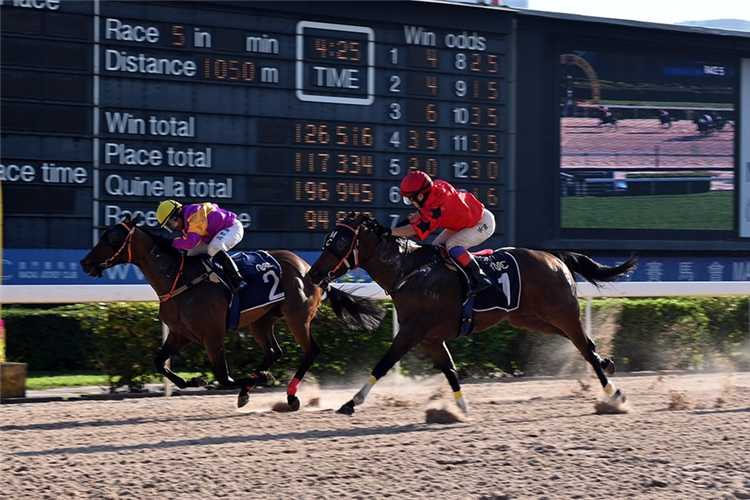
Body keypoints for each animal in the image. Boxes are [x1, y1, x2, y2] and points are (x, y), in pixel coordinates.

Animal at [81, 215, 388, 410]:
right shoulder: (181, 334)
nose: (85, 263)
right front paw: (193, 379)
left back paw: (288, 395)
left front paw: (259, 379)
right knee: (274, 352)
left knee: (310, 350)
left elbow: (223, 376)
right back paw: (250, 390)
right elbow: (160, 363)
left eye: (113, 238)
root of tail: (309, 269)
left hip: (297, 318)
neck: (180, 280)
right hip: (262, 321)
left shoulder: (212, 334)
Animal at [306, 213, 640, 416]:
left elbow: (384, 363)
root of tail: (553, 257)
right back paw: (606, 364)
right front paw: (461, 409)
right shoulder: (430, 338)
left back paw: (614, 393)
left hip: (562, 311)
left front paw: (351, 402)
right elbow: (450, 370)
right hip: (530, 318)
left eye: (338, 243)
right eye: (325, 240)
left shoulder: (412, 331)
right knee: (583, 344)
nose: (314, 273)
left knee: (583, 346)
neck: (410, 272)